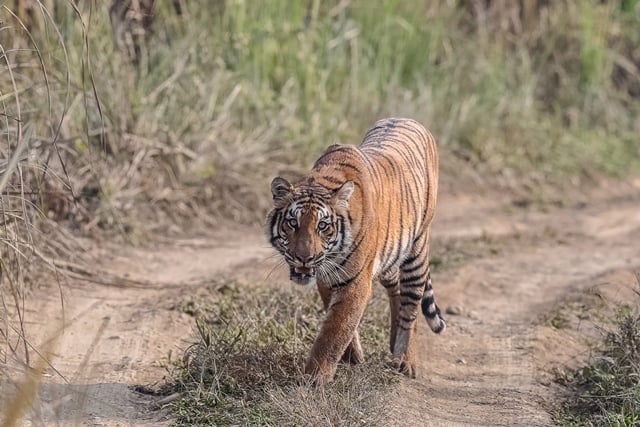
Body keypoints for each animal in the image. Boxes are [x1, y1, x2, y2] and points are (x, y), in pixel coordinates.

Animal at [266, 117, 446, 385]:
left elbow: (335, 328)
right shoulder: (327, 277)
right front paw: (351, 356)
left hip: (417, 248)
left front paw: (315, 377)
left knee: (411, 304)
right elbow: (339, 319)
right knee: (397, 290)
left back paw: (405, 360)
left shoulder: (355, 280)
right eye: (292, 223)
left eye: (322, 226)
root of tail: (409, 119)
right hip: (390, 258)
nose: (305, 258)